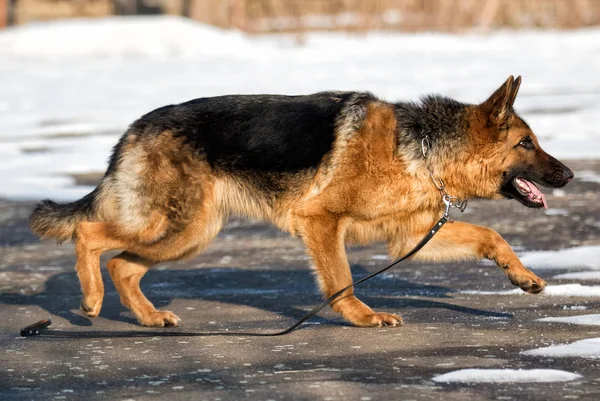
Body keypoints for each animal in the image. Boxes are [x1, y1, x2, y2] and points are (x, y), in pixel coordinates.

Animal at [31, 76, 572, 326]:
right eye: (526, 143)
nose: (568, 175)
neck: (420, 150)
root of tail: (135, 127)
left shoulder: (411, 238)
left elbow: (491, 235)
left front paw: (523, 276)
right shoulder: (320, 220)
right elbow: (341, 278)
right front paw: (362, 317)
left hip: (190, 234)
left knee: (122, 264)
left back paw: (147, 317)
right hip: (172, 227)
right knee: (90, 236)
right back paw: (91, 299)